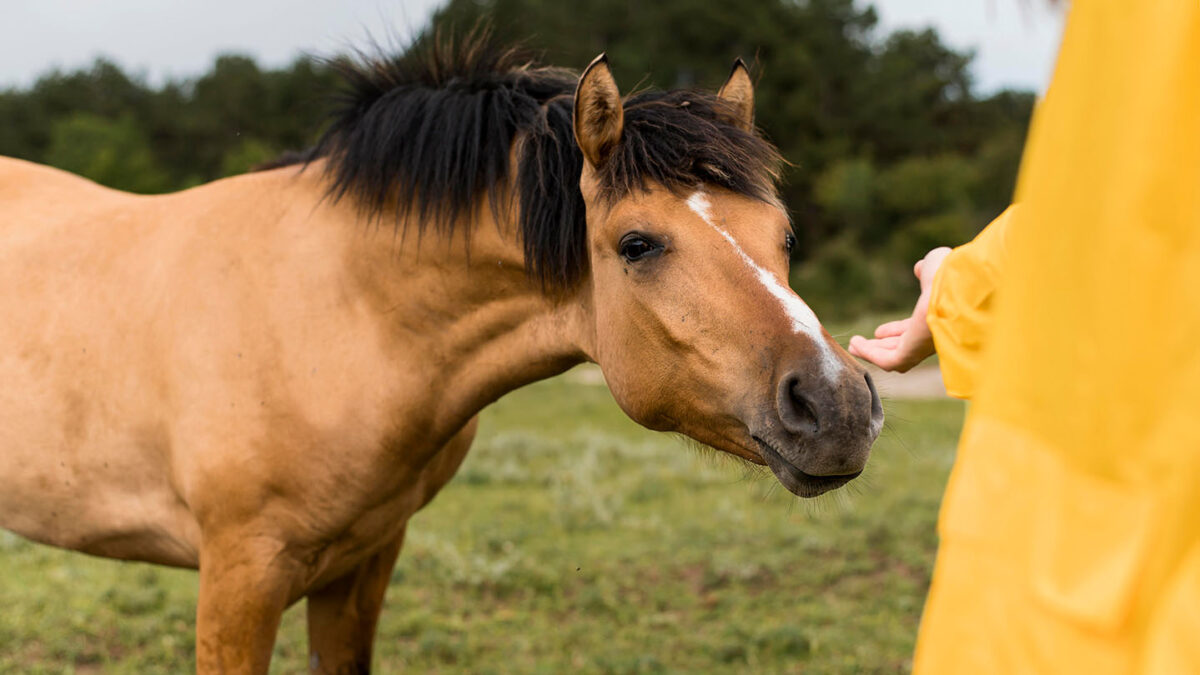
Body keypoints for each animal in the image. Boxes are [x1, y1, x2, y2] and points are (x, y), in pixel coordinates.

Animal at [0, 34, 883, 674]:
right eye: (637, 243)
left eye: (785, 236)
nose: (837, 406)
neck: (338, 309)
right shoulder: (239, 575)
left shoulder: (361, 562)